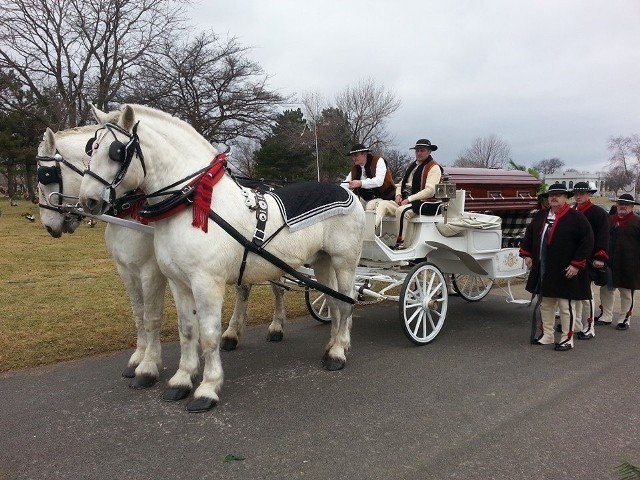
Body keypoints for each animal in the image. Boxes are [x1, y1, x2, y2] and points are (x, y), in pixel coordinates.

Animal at [38, 119, 288, 390]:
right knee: (244, 289)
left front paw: (149, 366)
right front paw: (140, 358)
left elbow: (152, 317)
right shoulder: (127, 271)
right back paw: (232, 334)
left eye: (46, 175)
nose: (49, 226)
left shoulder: (152, 271)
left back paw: (276, 327)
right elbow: (139, 315)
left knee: (278, 289)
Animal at [79, 105, 364, 412]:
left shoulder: (207, 283)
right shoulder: (179, 282)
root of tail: (347, 190)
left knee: (345, 302)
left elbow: (209, 333)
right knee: (333, 302)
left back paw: (338, 353)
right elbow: (187, 330)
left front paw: (207, 387)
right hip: (322, 260)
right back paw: (333, 345)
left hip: (344, 261)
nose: (88, 201)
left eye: (116, 151)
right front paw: (181, 380)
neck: (193, 202)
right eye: (91, 148)